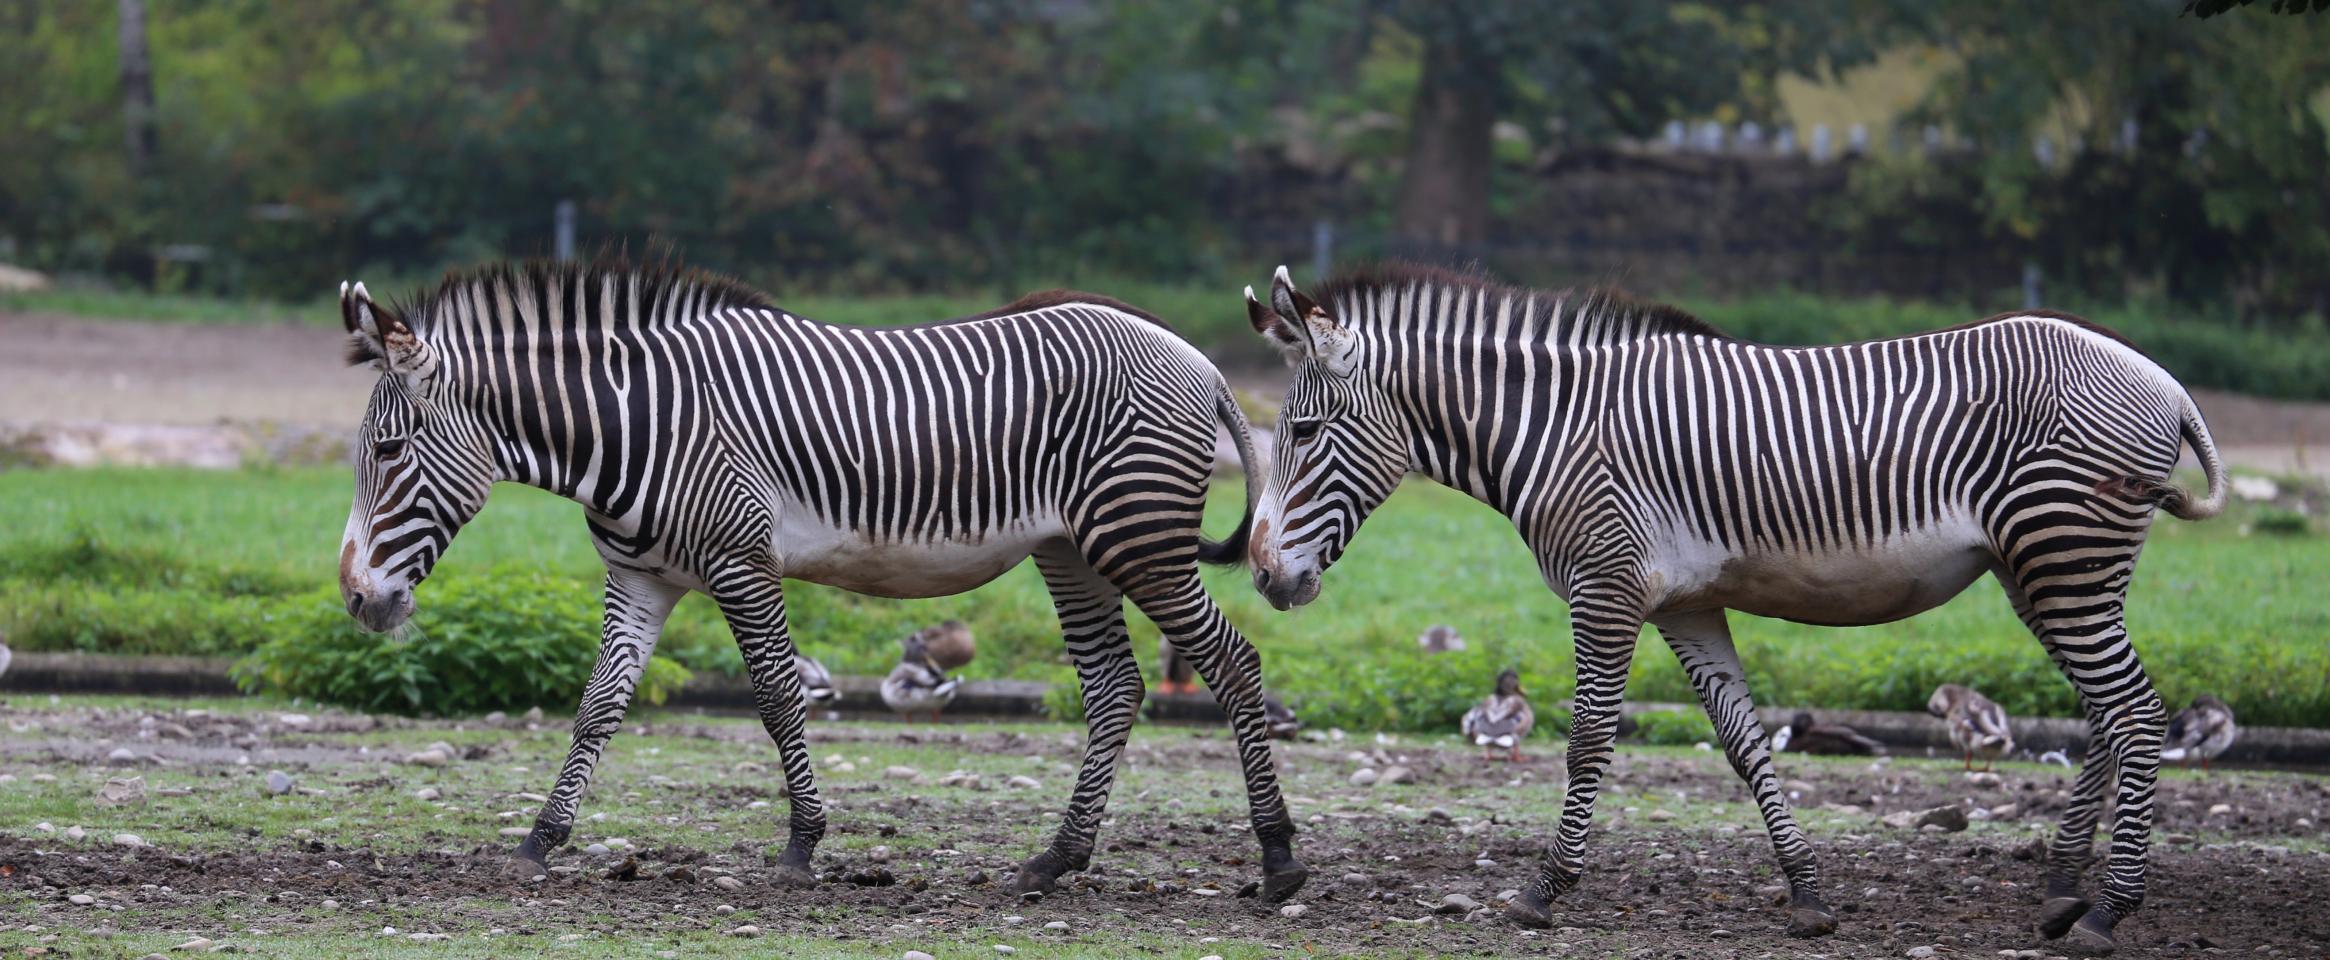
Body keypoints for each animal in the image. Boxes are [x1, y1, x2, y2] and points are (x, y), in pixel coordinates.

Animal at [333, 260, 1314, 899]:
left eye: (388, 450)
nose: (356, 599)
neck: (638, 426)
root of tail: (1195, 358)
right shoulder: (641, 577)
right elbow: (598, 706)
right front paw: (541, 839)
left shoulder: (739, 561)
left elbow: (776, 695)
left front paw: (803, 844)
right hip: (1072, 549)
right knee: (1115, 686)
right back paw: (1055, 860)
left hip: (1139, 539)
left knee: (1233, 665)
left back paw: (1277, 861)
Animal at [1248, 262, 2227, 950]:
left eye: (1303, 432)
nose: (1260, 576)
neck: (1555, 431)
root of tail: (2166, 379)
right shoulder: (1683, 605)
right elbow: (1746, 744)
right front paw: (1807, 896)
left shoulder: (1607, 587)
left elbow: (1588, 740)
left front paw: (1543, 891)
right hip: (2044, 571)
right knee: (2107, 715)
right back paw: (2063, 891)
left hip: (2063, 558)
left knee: (2138, 712)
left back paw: (2108, 911)